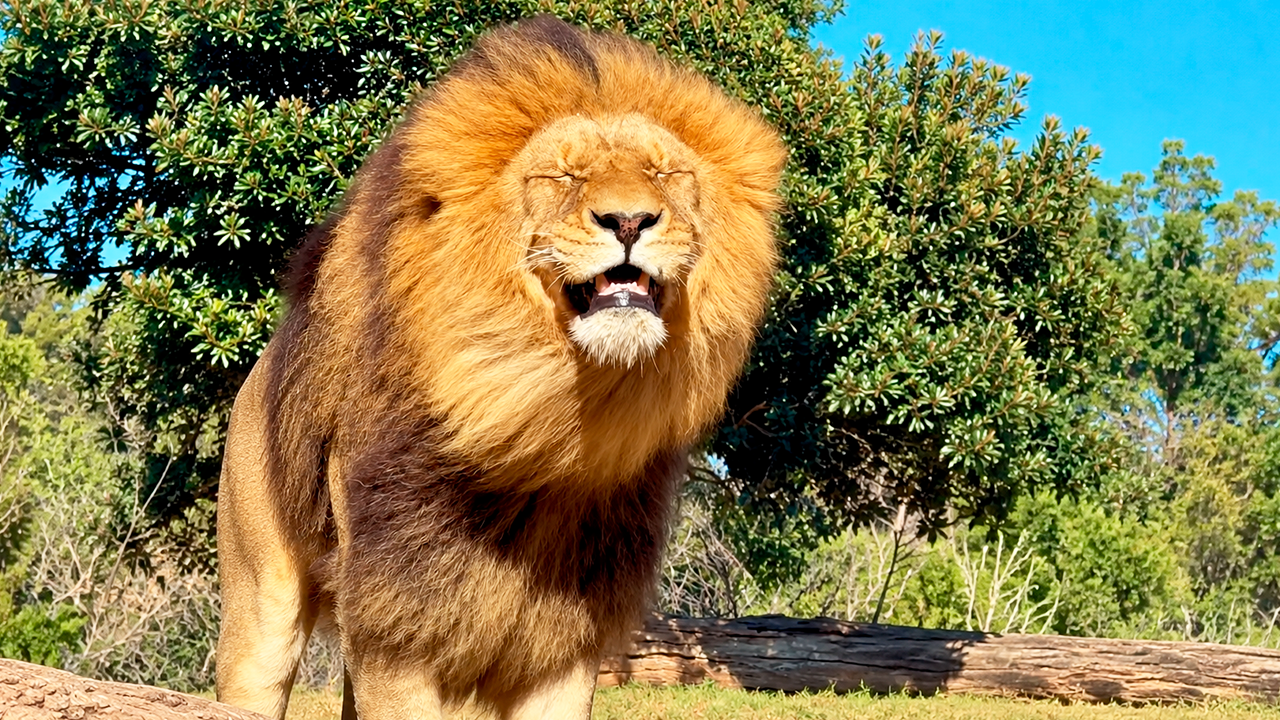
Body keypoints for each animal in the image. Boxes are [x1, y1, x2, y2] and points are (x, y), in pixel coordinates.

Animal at [215, 16, 785, 720]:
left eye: (663, 171)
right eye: (563, 177)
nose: (629, 219)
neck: (544, 420)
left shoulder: (568, 637)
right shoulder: (397, 616)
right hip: (260, 611)